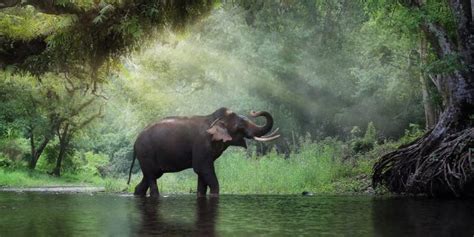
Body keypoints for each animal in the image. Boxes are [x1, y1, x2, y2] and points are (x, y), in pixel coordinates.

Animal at [128, 107, 280, 196]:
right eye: (240, 126)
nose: (254, 112)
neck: (213, 119)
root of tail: (135, 143)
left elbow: (202, 175)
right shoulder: (201, 144)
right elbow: (203, 170)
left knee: (149, 177)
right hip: (146, 153)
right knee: (152, 178)